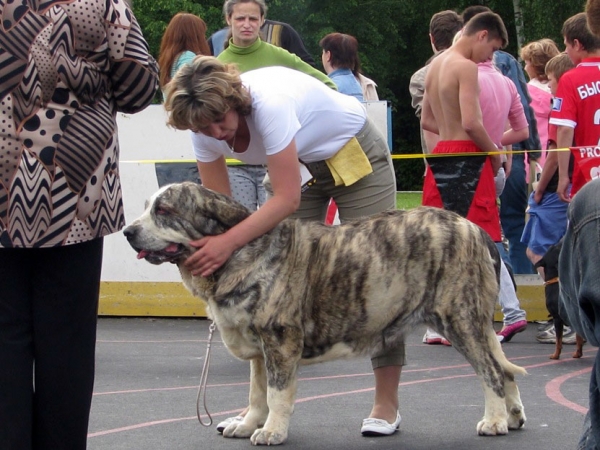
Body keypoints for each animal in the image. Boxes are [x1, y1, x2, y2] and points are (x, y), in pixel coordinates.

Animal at [125, 181, 524, 444]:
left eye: (164, 211)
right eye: (147, 207)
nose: (128, 231)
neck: (236, 251)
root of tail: (474, 229)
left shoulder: (279, 339)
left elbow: (276, 393)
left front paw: (272, 431)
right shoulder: (259, 348)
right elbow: (256, 393)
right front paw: (249, 424)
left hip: (460, 319)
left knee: (490, 371)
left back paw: (494, 421)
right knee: (504, 369)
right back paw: (514, 417)